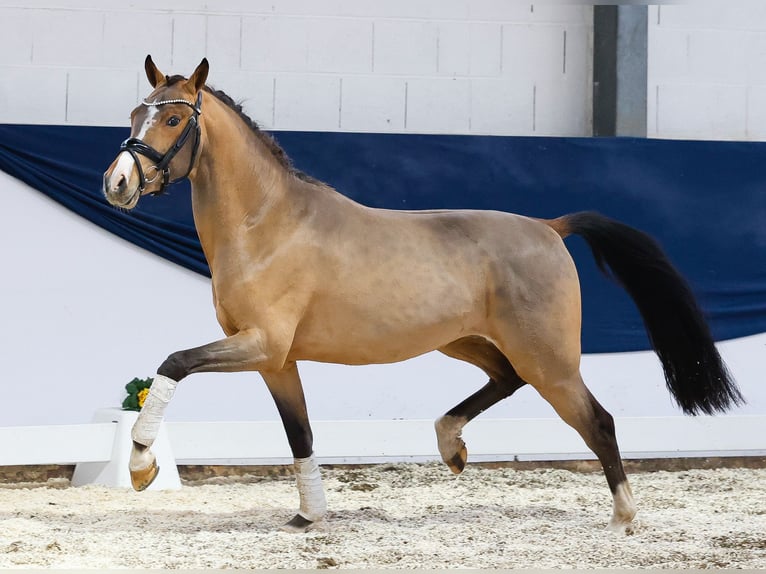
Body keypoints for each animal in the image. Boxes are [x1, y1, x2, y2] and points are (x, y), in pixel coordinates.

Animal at [102, 56, 744, 536]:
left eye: (174, 118)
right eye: (135, 111)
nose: (117, 183)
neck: (267, 226)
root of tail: (550, 227)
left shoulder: (259, 345)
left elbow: (174, 364)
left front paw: (140, 465)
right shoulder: (275, 360)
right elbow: (299, 433)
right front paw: (309, 517)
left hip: (550, 358)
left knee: (597, 419)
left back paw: (623, 517)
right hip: (465, 342)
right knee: (505, 379)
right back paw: (452, 446)